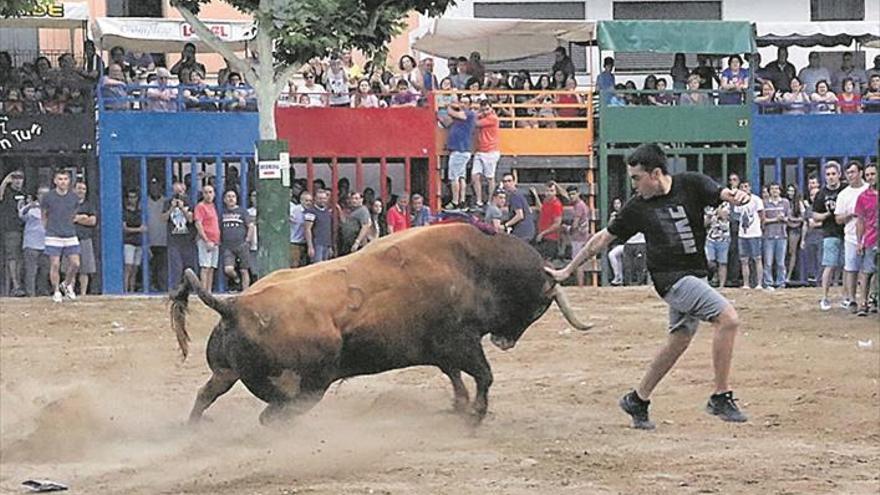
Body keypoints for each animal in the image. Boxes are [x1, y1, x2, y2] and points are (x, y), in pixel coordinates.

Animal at [170, 223, 592, 424]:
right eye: (540, 307)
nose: (507, 341)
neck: (475, 265)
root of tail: (236, 305)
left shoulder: (445, 351)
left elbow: (457, 378)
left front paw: (459, 408)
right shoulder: (461, 342)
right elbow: (483, 376)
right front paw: (474, 415)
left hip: (226, 374)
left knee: (205, 396)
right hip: (305, 388)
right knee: (271, 418)